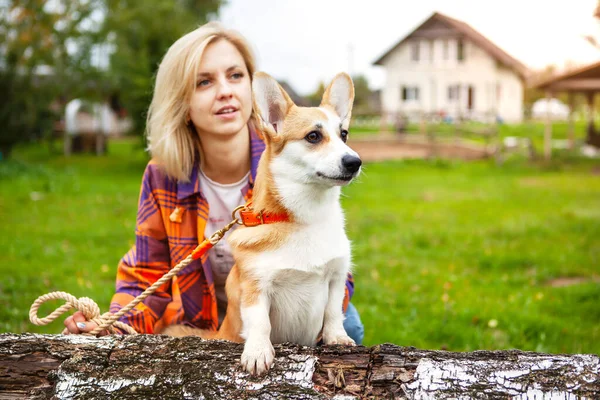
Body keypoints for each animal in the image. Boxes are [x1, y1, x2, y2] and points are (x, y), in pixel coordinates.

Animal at [162, 72, 360, 376]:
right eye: (313, 136)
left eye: (344, 135)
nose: (355, 162)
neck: (304, 217)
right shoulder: (255, 287)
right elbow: (259, 322)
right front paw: (257, 352)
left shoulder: (337, 277)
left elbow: (333, 311)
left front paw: (337, 337)